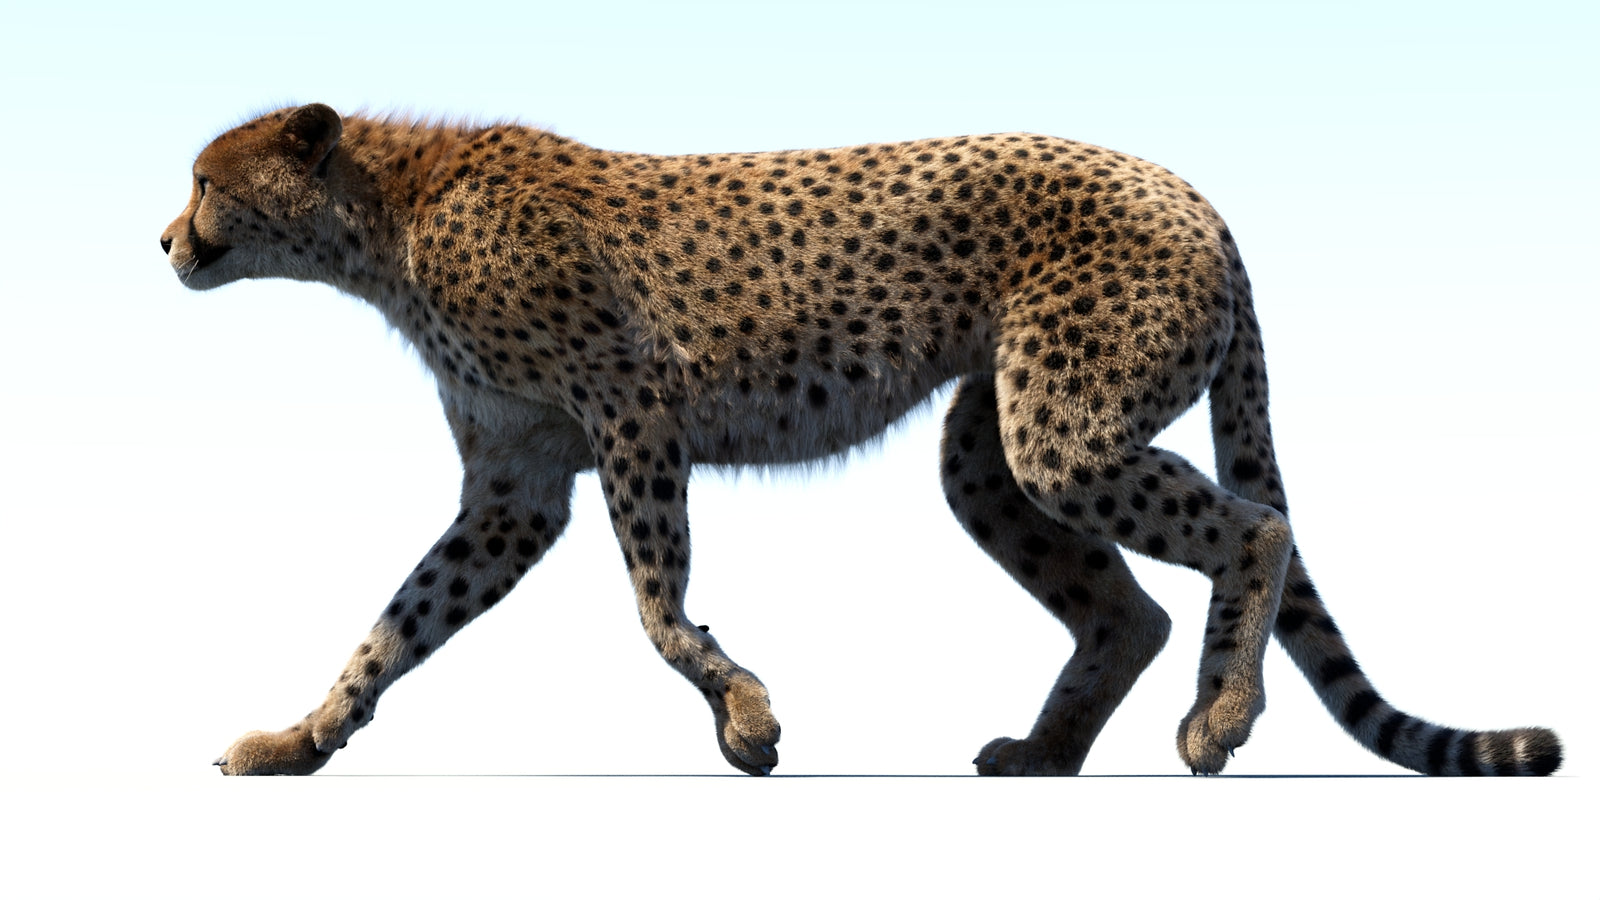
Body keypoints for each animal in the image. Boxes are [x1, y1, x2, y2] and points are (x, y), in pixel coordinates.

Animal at [162, 103, 1562, 776]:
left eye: (206, 181)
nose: (166, 239)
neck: (383, 221)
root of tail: (1191, 190)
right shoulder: (518, 485)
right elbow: (396, 624)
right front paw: (301, 739)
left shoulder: (634, 408)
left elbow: (655, 605)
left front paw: (744, 720)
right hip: (994, 452)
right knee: (1126, 609)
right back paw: (1046, 755)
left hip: (1061, 430)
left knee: (1257, 528)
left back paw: (1218, 718)